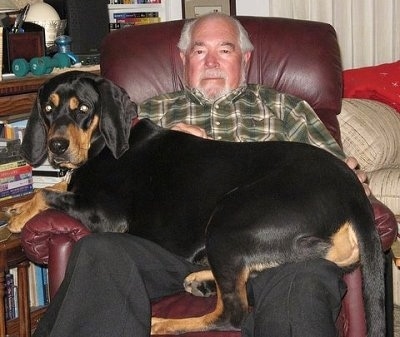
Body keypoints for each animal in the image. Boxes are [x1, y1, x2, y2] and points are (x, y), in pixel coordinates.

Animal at [4, 70, 386, 334]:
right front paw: (17, 207)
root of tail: (351, 186)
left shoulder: (108, 215)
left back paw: (163, 322)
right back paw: (201, 278)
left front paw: (19, 216)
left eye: (83, 108)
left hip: (228, 222)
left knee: (233, 314)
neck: (103, 146)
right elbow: (53, 188)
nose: (56, 147)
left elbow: (46, 192)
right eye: (48, 110)